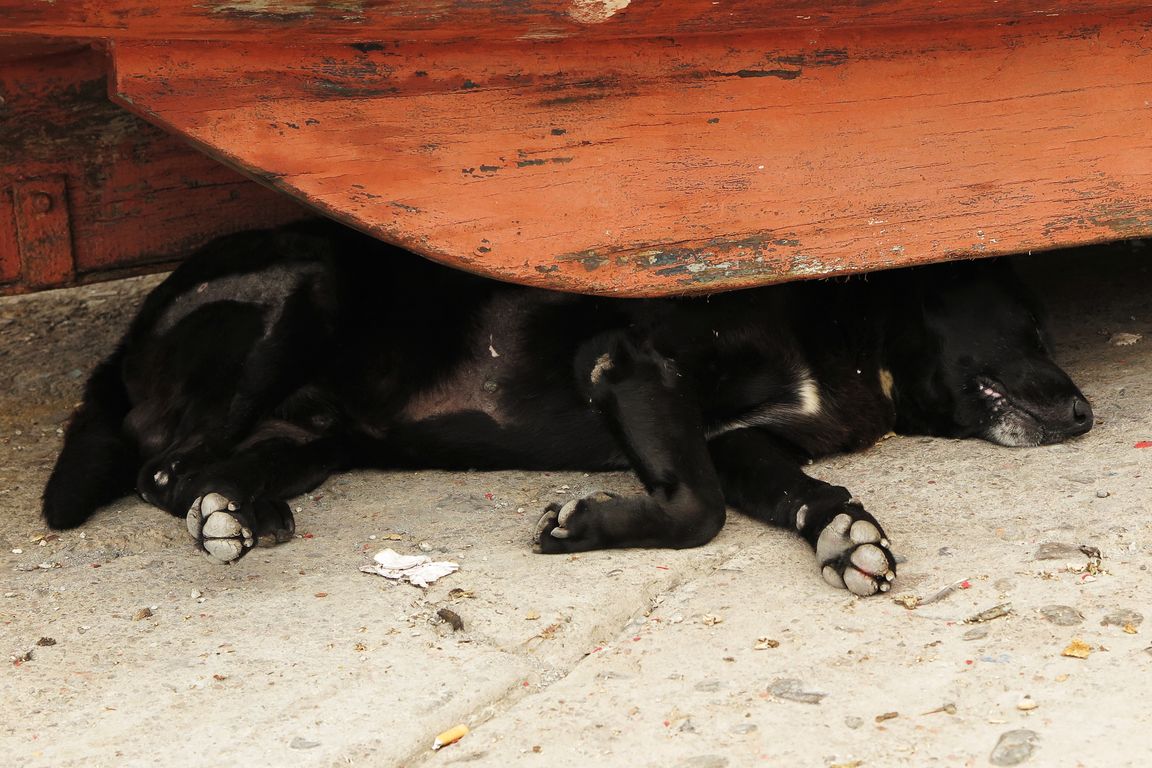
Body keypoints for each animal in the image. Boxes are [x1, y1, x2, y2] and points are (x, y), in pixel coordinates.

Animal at [40, 218, 1092, 598]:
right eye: (1031, 324)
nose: (1087, 417)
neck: (848, 336)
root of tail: (124, 340)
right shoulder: (627, 364)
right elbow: (697, 510)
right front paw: (584, 525)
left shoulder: (748, 445)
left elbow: (797, 493)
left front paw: (846, 535)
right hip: (300, 293)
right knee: (160, 468)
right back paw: (231, 510)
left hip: (316, 432)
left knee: (214, 473)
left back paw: (243, 514)